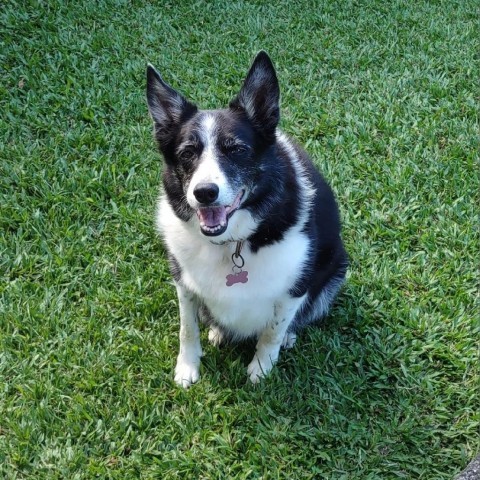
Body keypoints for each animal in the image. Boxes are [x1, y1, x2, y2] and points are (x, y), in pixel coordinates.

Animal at [144, 50, 346, 386]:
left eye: (236, 149)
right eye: (187, 153)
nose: (205, 193)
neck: (232, 242)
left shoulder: (294, 287)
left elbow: (272, 332)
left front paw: (261, 369)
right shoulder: (183, 282)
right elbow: (188, 329)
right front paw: (187, 367)